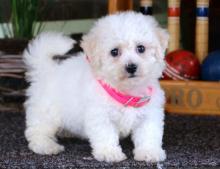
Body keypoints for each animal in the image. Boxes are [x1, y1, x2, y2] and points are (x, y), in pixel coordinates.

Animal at [23, 11, 168, 162]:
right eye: (114, 52)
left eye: (141, 48)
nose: (131, 67)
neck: (125, 91)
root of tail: (47, 70)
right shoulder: (100, 115)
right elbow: (106, 134)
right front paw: (109, 153)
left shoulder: (150, 114)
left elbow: (149, 134)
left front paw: (149, 152)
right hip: (47, 112)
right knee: (37, 131)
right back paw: (46, 145)